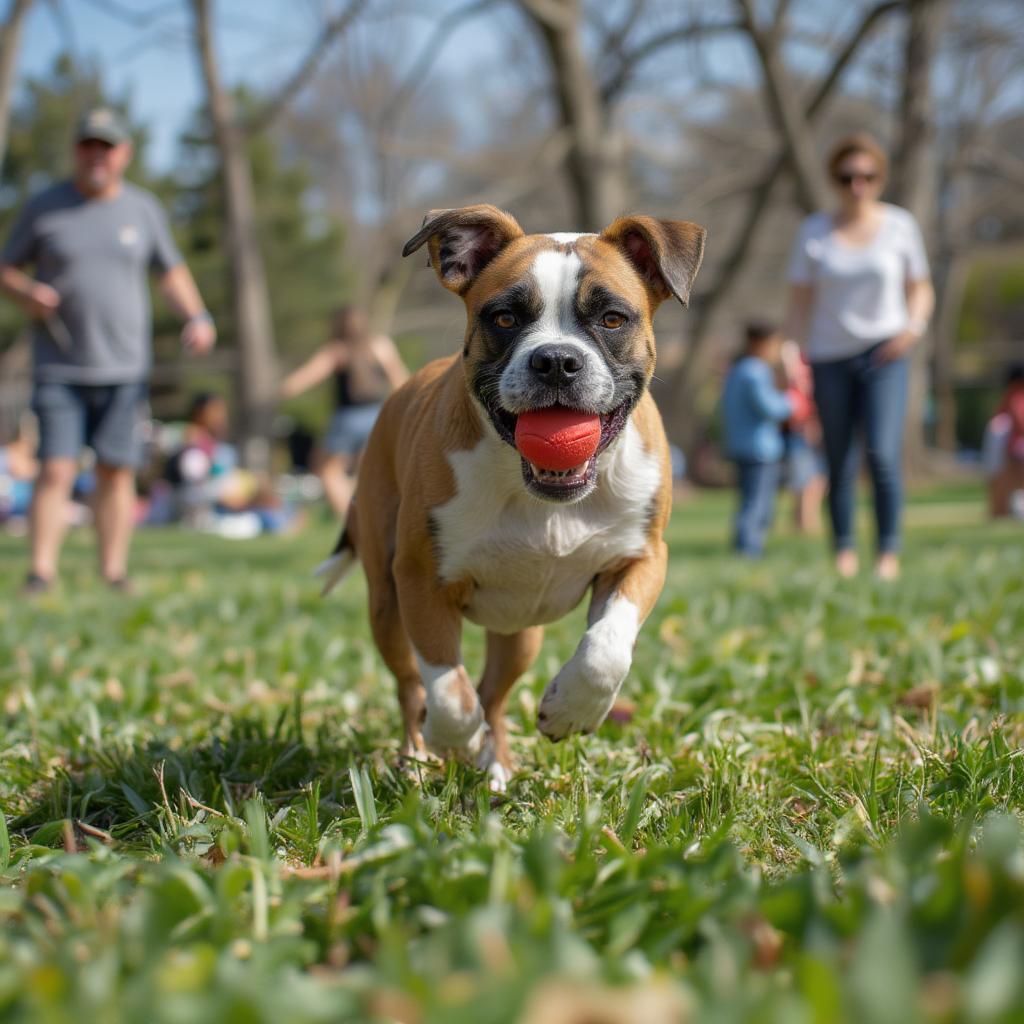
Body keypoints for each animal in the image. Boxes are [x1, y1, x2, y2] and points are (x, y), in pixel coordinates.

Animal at [319, 203, 704, 786]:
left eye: (612, 319)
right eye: (504, 319)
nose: (557, 361)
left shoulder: (641, 559)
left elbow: (606, 649)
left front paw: (571, 710)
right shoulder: (421, 580)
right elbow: (447, 688)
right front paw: (452, 736)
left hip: (520, 632)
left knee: (495, 695)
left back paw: (495, 765)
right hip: (385, 604)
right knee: (412, 688)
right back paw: (419, 757)